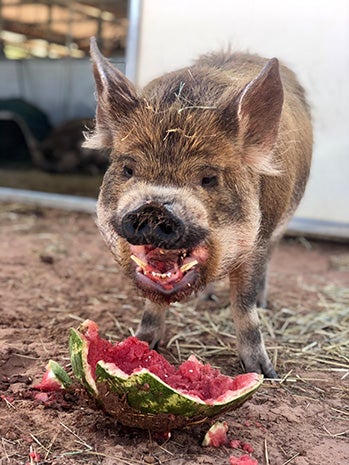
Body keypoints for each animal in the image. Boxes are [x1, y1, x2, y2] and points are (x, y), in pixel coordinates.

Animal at [83, 37, 310, 376]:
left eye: (208, 178)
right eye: (128, 169)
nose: (154, 207)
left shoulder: (258, 240)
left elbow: (244, 305)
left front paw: (263, 373)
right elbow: (152, 301)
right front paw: (142, 343)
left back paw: (263, 305)